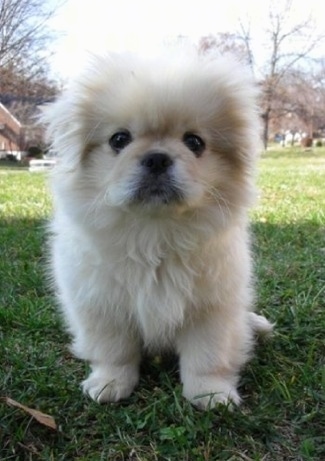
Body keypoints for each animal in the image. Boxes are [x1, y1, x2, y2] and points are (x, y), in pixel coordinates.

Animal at [43, 46, 270, 408]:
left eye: (195, 143)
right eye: (119, 139)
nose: (157, 158)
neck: (154, 235)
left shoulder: (212, 310)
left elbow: (207, 357)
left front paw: (210, 394)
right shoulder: (101, 306)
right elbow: (114, 352)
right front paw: (109, 384)